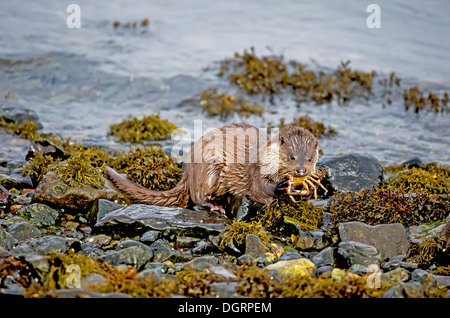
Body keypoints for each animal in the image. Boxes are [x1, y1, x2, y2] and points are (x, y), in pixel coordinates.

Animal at [104, 122, 318, 216]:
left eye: (309, 159)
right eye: (292, 157)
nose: (301, 171)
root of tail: (188, 172)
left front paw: (308, 191)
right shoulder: (258, 171)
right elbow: (259, 190)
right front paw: (280, 187)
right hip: (209, 167)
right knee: (197, 195)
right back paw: (214, 205)